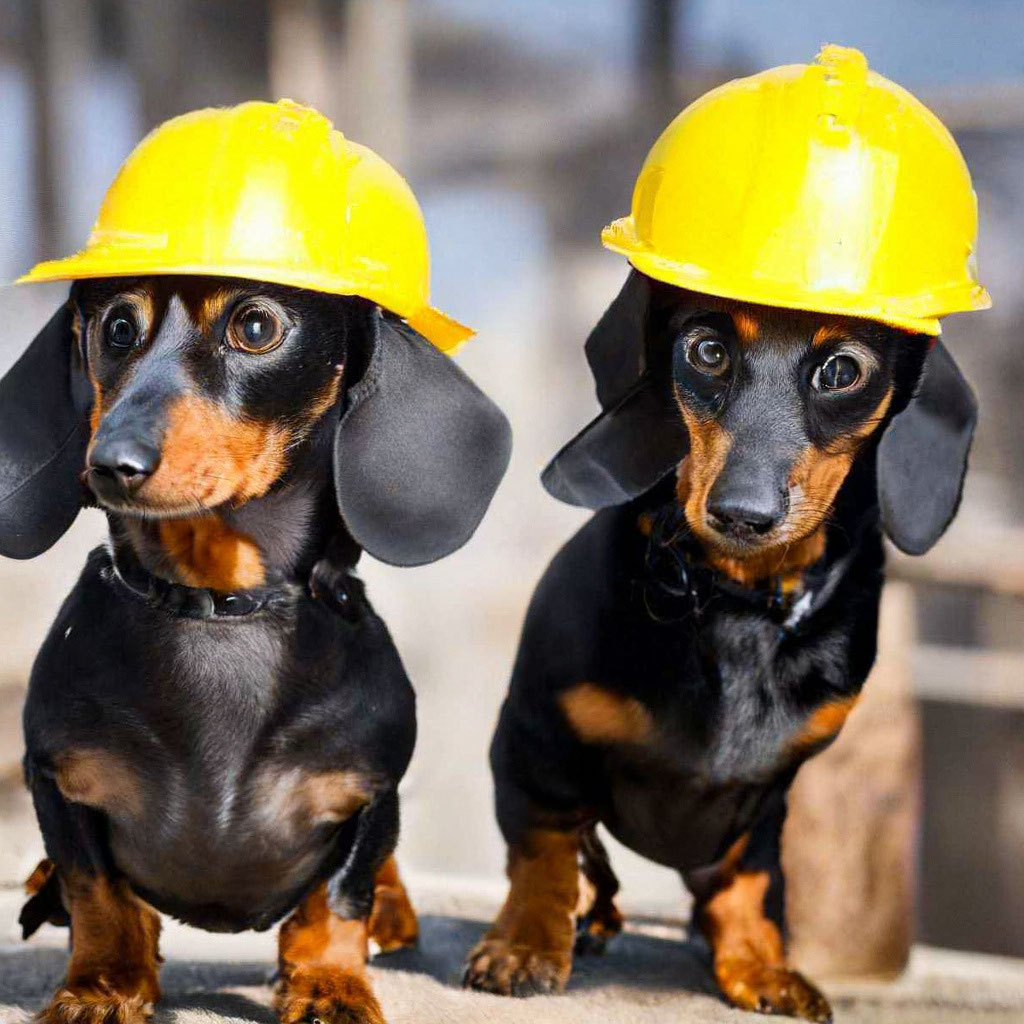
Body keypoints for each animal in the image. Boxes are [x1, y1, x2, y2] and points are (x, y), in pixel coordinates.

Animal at [0, 276, 512, 1024]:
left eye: (257, 326)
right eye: (117, 328)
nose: (108, 465)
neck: (219, 602)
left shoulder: (369, 794)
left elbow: (337, 900)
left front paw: (330, 986)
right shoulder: (57, 780)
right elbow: (98, 894)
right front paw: (101, 987)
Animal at [464, 274, 974, 1024]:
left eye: (842, 370)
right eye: (707, 350)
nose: (742, 514)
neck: (738, 603)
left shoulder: (767, 800)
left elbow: (749, 880)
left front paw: (761, 965)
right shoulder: (535, 736)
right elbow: (545, 847)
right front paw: (526, 945)